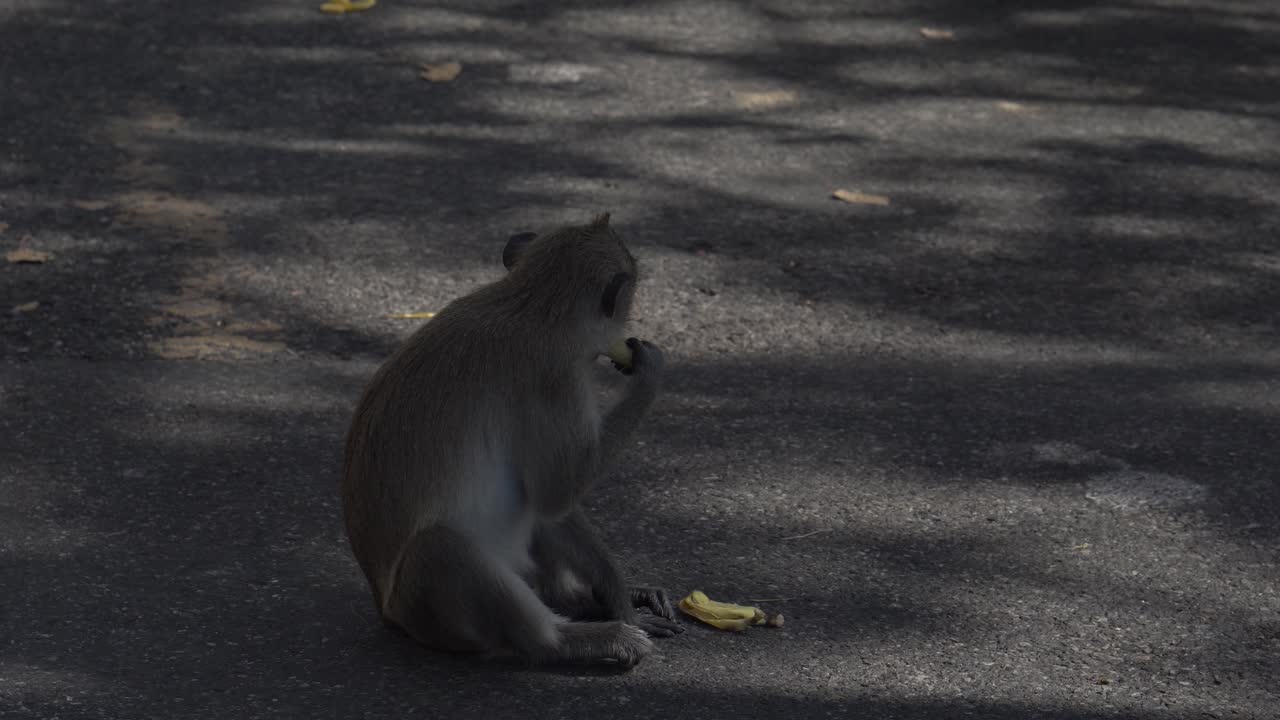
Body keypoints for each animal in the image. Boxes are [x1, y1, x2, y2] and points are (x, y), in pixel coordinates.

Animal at [341, 213, 682, 668]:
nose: (628, 332)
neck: (531, 307)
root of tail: (386, 612)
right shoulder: (556, 379)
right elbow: (557, 492)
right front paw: (651, 374)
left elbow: (549, 502)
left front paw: (617, 590)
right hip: (427, 610)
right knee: (441, 547)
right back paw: (576, 640)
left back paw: (571, 600)